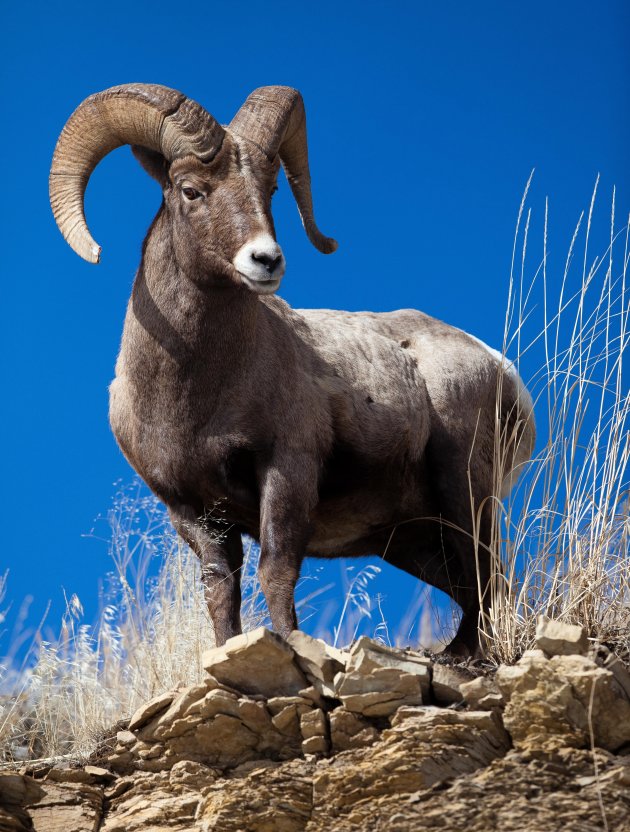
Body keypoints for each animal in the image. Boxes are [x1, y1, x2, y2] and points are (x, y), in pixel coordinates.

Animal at [49, 86, 536, 656]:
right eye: (191, 190)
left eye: (271, 189)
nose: (266, 260)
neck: (195, 398)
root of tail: (501, 368)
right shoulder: (191, 509)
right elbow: (221, 589)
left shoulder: (287, 470)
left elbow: (276, 570)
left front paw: (292, 646)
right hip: (411, 539)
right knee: (475, 584)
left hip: (464, 491)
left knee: (487, 577)